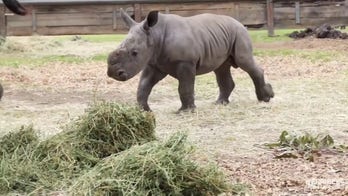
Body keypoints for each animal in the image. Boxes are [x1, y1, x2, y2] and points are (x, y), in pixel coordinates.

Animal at [107, 9, 274, 111]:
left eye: (134, 53)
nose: (113, 73)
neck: (155, 34)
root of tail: (240, 23)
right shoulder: (154, 62)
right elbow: (144, 85)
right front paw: (144, 110)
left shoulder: (185, 62)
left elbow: (184, 86)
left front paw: (185, 111)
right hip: (222, 36)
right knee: (221, 68)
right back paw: (220, 103)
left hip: (239, 34)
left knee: (243, 61)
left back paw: (265, 98)